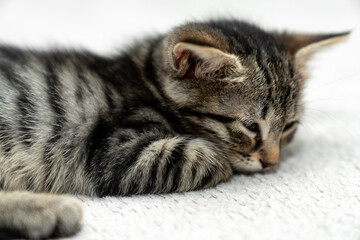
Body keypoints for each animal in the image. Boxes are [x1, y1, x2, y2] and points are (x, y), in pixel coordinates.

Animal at [0, 20, 348, 238]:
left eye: (289, 126)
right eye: (251, 126)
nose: (272, 162)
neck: (148, 81)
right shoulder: (112, 153)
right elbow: (209, 157)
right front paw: (226, 157)